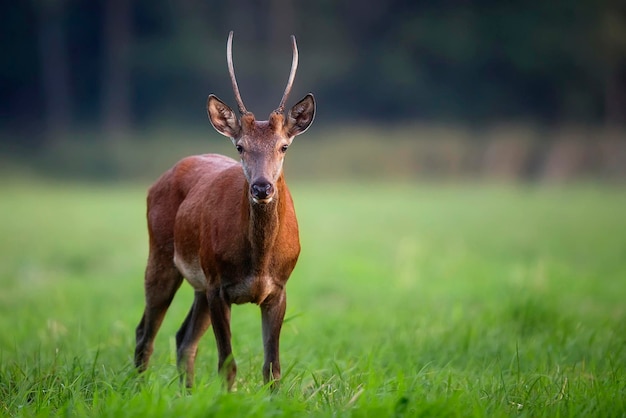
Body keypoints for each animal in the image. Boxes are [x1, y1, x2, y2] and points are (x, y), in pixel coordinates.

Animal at [133, 31, 314, 390]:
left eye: (283, 146)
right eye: (240, 146)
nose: (262, 188)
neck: (258, 262)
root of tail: (158, 180)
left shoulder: (279, 289)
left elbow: (272, 368)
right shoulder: (218, 285)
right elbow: (227, 363)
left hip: (199, 285)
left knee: (182, 338)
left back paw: (186, 393)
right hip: (162, 256)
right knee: (145, 332)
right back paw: (139, 391)